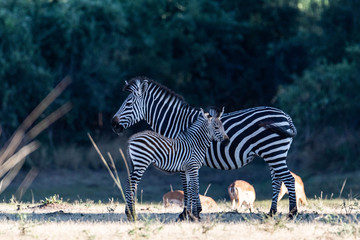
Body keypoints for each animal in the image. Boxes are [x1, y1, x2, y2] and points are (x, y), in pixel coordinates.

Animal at [112, 76, 298, 218]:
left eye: (128, 104)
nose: (113, 124)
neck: (176, 122)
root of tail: (286, 116)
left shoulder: (182, 157)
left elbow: (187, 186)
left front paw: (186, 214)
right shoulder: (186, 158)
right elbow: (192, 184)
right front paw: (193, 212)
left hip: (273, 152)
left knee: (288, 179)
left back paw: (291, 213)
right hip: (274, 153)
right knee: (277, 180)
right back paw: (272, 213)